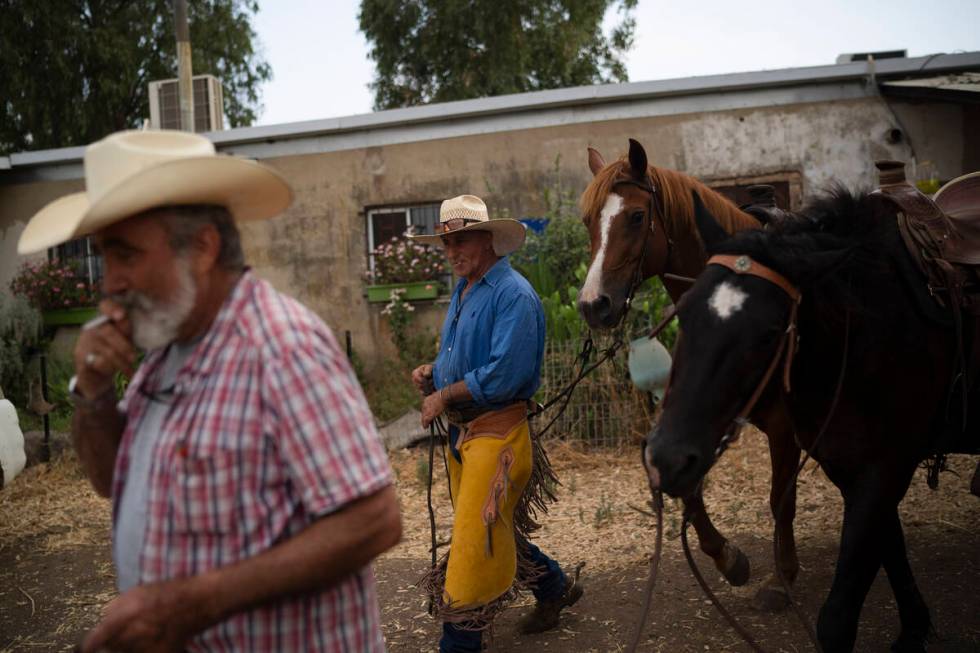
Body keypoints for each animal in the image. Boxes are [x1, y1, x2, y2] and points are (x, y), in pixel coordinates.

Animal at [580, 140, 800, 608]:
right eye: (588, 221)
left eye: (637, 216)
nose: (593, 305)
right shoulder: (684, 426)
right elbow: (685, 484)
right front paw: (728, 558)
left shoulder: (784, 424)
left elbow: (781, 499)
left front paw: (783, 578)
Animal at [648, 186, 976, 648]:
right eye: (685, 314)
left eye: (770, 333)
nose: (668, 459)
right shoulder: (853, 468)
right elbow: (890, 549)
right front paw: (914, 627)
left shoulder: (884, 467)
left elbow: (837, 614)